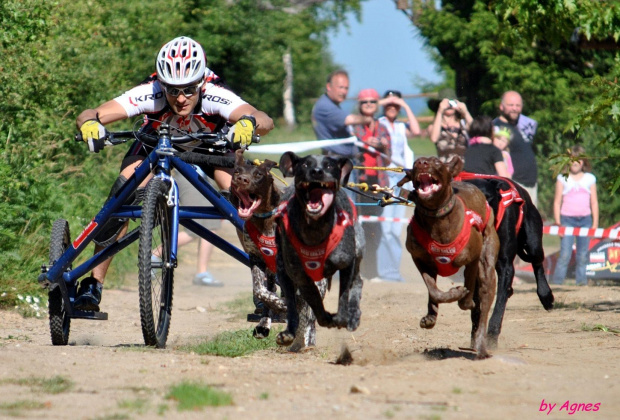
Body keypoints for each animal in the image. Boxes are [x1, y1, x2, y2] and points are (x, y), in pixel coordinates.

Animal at [274, 152, 366, 348]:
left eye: (330, 165)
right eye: (305, 164)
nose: (317, 171)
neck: (315, 229)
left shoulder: (346, 262)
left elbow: (344, 294)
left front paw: (342, 317)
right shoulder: (301, 278)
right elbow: (315, 302)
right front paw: (326, 318)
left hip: (358, 249)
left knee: (358, 282)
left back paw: (353, 315)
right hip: (282, 270)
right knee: (291, 304)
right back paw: (289, 332)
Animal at [400, 156, 502, 360]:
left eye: (436, 162)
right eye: (415, 163)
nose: (422, 162)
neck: (437, 219)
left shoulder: (473, 259)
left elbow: (467, 296)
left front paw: (464, 297)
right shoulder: (420, 258)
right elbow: (434, 292)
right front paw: (451, 295)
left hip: (488, 258)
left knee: (484, 304)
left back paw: (481, 347)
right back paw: (431, 317)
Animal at [452, 171, 556, 348]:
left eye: (488, 198)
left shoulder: (506, 265)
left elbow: (499, 303)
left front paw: (492, 335)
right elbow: (477, 303)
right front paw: (476, 334)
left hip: (533, 240)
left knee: (537, 262)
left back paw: (545, 295)